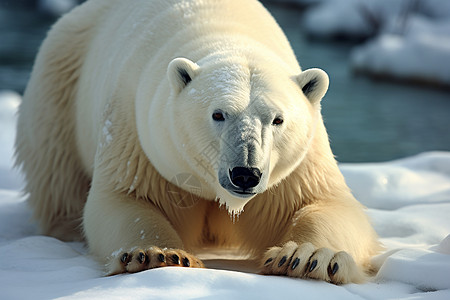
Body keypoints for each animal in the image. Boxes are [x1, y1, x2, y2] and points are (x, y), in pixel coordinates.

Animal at [14, 0, 380, 284]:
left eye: (277, 119)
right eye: (219, 114)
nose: (245, 174)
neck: (229, 34)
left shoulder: (300, 161)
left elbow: (324, 203)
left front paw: (307, 258)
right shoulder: (137, 129)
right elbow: (125, 197)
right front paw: (156, 254)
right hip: (61, 79)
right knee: (56, 168)